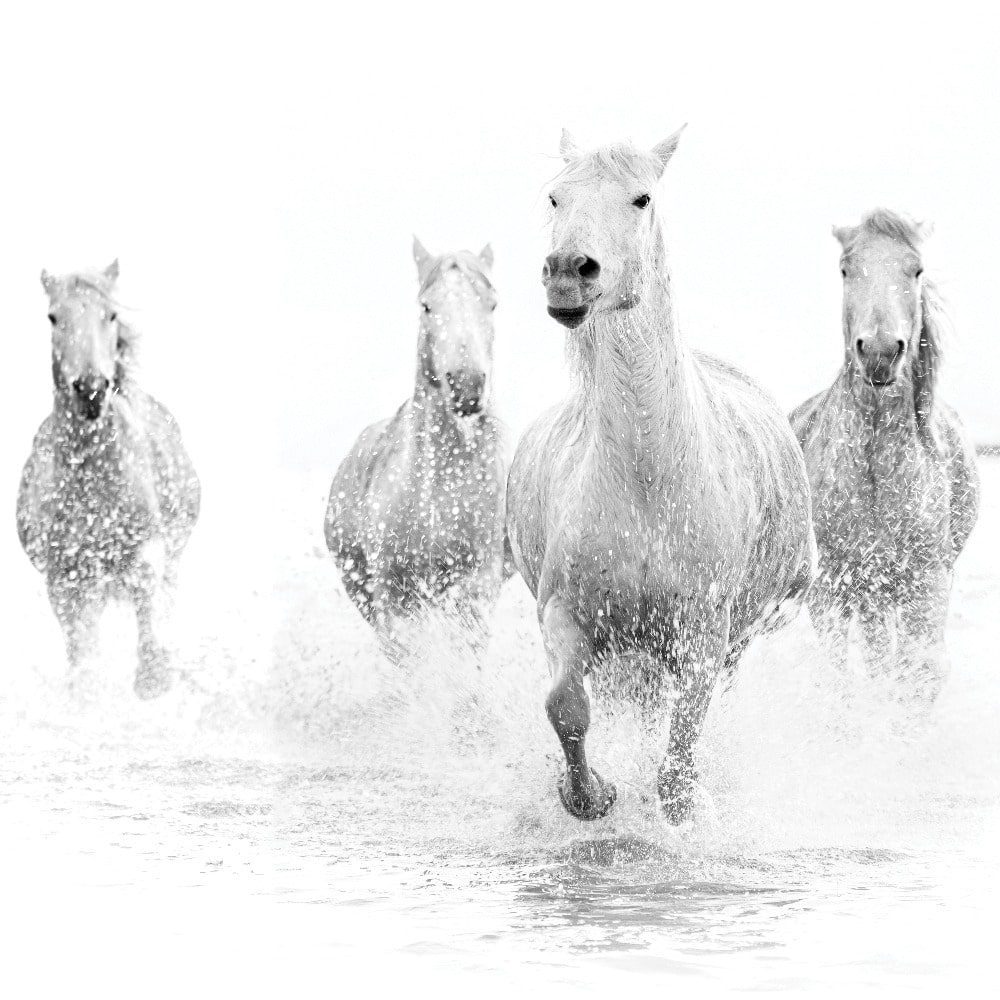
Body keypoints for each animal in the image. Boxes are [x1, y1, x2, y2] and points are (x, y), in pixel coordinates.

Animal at [16, 261, 201, 698]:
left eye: (111, 315)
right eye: (53, 317)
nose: (91, 389)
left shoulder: (146, 555)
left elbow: (149, 624)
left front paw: (154, 677)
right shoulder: (64, 580)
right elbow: (82, 658)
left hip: (173, 554)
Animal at [506, 128, 816, 823]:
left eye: (642, 197)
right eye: (556, 196)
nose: (568, 272)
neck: (646, 480)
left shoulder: (704, 633)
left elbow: (681, 751)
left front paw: (676, 813)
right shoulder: (565, 614)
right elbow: (565, 706)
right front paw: (589, 795)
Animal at [790, 209, 980, 703]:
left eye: (916, 270)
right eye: (845, 269)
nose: (879, 352)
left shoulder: (926, 584)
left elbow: (920, 672)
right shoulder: (831, 590)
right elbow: (837, 681)